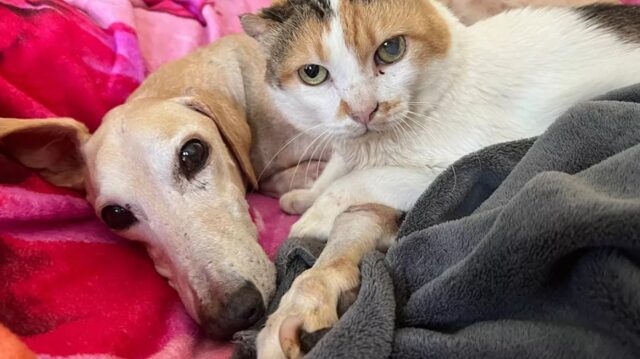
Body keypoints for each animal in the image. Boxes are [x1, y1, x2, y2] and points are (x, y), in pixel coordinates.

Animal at [241, 1, 640, 358]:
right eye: (313, 73)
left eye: (390, 50)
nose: (363, 110)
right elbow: (335, 169)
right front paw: (305, 195)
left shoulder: (450, 166)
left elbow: (354, 183)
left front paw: (312, 218)